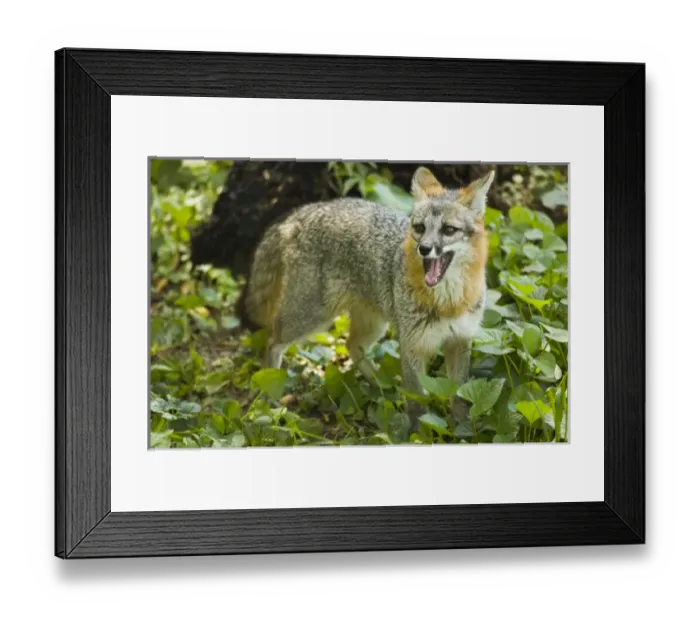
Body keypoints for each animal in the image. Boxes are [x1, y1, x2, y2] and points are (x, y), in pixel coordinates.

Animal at [236, 166, 495, 424]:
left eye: (449, 230)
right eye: (420, 228)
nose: (424, 248)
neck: (448, 302)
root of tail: (305, 211)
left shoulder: (460, 341)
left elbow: (460, 395)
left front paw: (462, 427)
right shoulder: (412, 345)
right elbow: (416, 404)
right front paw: (418, 430)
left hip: (373, 325)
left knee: (351, 345)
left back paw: (383, 385)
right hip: (309, 319)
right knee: (272, 340)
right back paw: (268, 396)